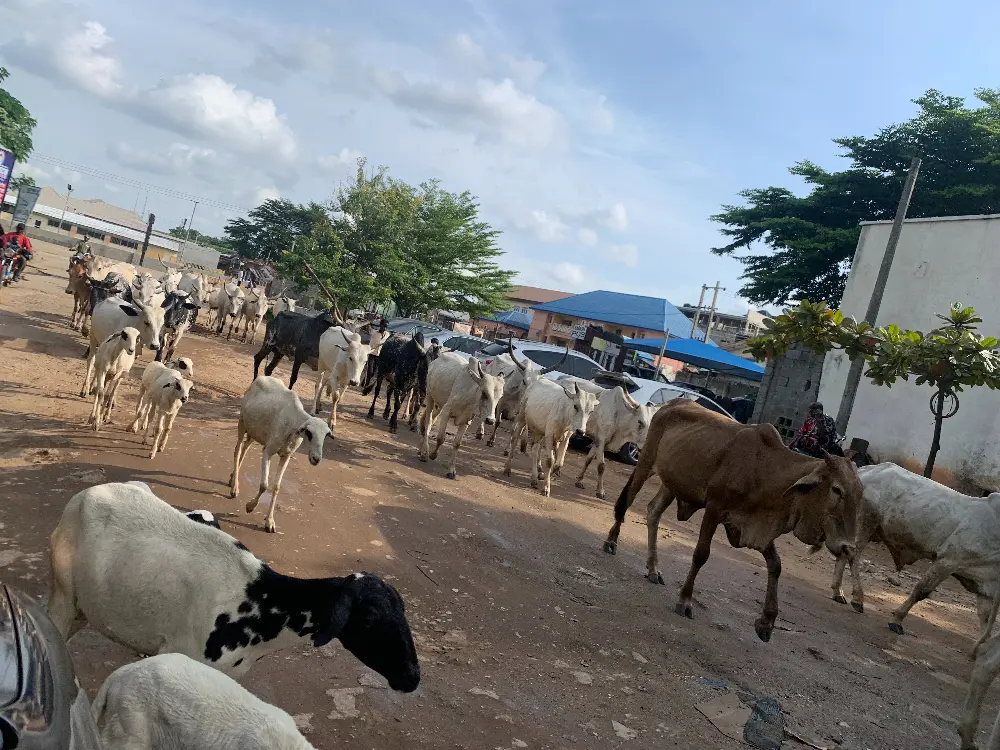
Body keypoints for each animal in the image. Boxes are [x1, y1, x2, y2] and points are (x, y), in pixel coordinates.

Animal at [47, 482, 420, 688]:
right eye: (369, 618)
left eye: (403, 611)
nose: (412, 677)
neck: (260, 606)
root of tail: (87, 493)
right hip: (63, 595)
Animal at [230, 376, 332, 536]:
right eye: (309, 433)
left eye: (326, 435)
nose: (316, 459)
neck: (293, 423)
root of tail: (260, 378)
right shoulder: (268, 451)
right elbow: (264, 485)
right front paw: (250, 507)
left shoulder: (286, 456)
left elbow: (277, 487)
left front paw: (270, 522)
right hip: (242, 423)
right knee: (237, 450)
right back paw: (235, 487)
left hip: (255, 431)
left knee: (245, 448)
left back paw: (232, 478)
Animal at [418, 354, 504, 482]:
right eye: (484, 393)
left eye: (500, 397)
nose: (490, 420)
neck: (471, 395)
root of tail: (437, 359)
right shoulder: (446, 412)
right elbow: (440, 438)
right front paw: (433, 454)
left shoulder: (466, 421)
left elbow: (457, 444)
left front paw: (451, 471)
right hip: (430, 397)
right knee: (428, 421)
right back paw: (424, 453)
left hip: (440, 404)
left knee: (430, 420)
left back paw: (420, 449)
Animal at [604, 402, 864, 644]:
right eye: (836, 490)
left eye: (860, 493)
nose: (848, 547)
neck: (765, 470)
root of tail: (671, 404)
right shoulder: (714, 509)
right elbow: (701, 555)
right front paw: (685, 600)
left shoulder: (753, 527)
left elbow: (776, 565)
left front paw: (766, 622)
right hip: (646, 462)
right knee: (627, 501)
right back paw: (612, 542)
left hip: (672, 482)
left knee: (653, 512)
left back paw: (653, 569)